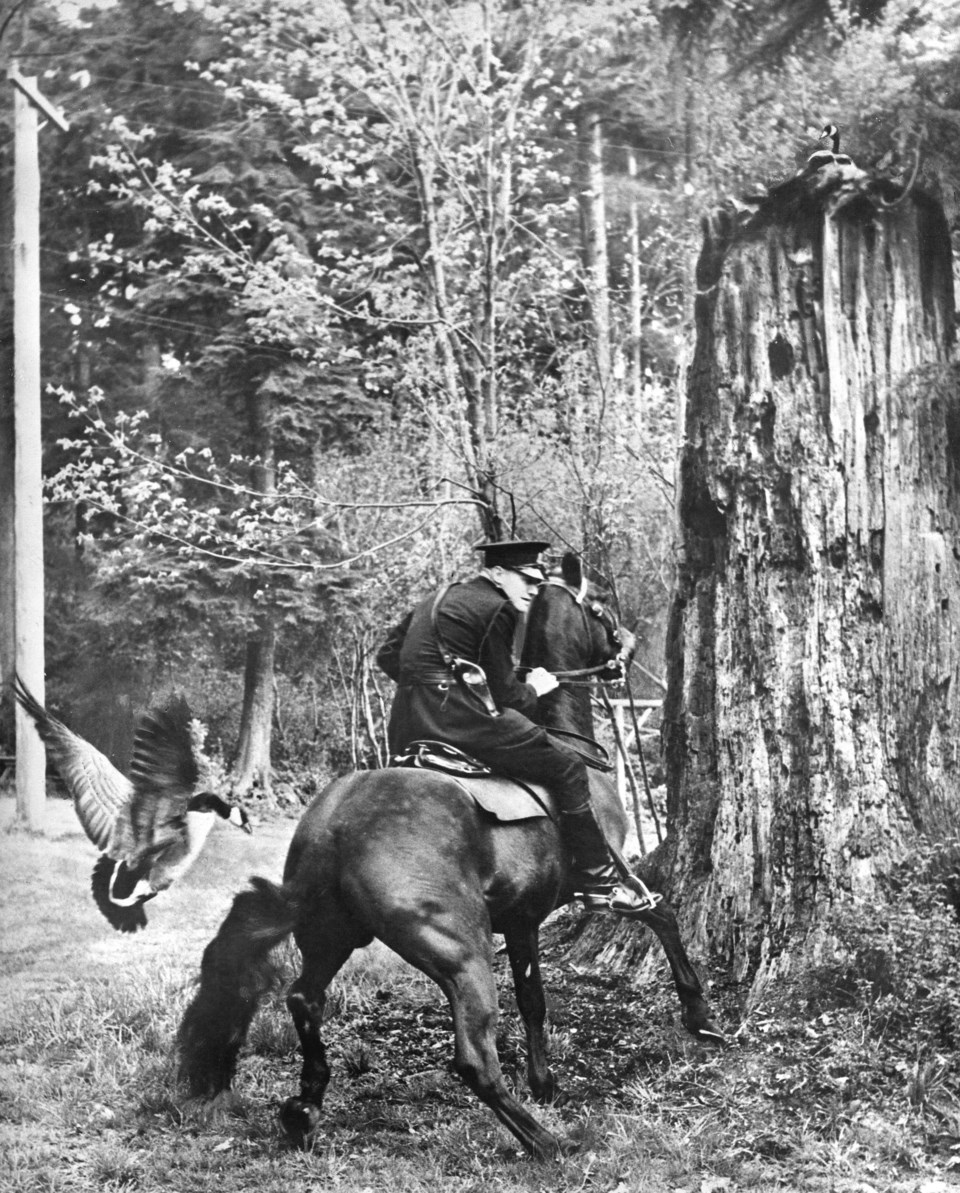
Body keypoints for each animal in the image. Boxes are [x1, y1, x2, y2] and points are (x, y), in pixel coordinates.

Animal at [177, 558, 720, 1154]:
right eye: (598, 607)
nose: (627, 647)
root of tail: (333, 825)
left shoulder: (523, 918)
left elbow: (534, 999)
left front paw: (545, 1083)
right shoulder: (604, 883)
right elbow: (662, 915)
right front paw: (700, 1016)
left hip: (333, 934)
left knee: (303, 1000)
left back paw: (305, 1107)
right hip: (462, 955)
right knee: (473, 1060)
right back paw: (549, 1145)